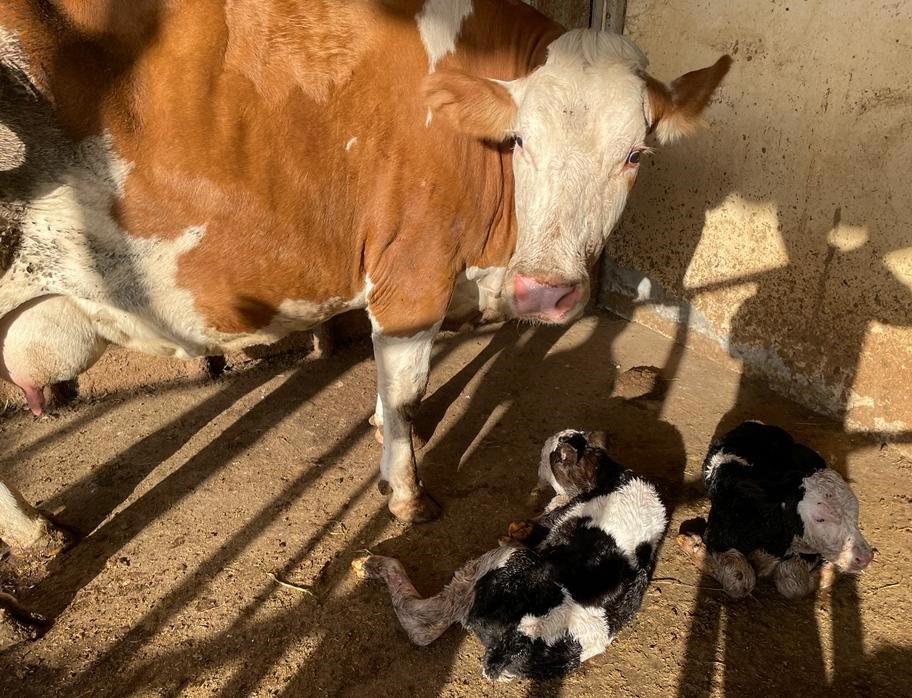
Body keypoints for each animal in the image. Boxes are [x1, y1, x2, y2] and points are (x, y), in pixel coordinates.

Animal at [0, 0, 728, 556]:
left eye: (636, 153)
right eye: (520, 141)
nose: (545, 290)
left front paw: (382, 429)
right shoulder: (411, 273)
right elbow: (407, 390)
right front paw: (405, 493)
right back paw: (35, 534)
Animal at [352, 430, 668, 680]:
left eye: (556, 455)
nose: (554, 436)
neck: (612, 475)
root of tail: (515, 644)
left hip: (497, 564)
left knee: (422, 621)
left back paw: (369, 564)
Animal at [680, 418, 872, 600]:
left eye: (855, 514)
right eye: (820, 518)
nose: (865, 557)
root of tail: (757, 425)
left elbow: (792, 583)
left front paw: (827, 572)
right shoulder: (718, 534)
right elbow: (741, 582)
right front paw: (691, 543)